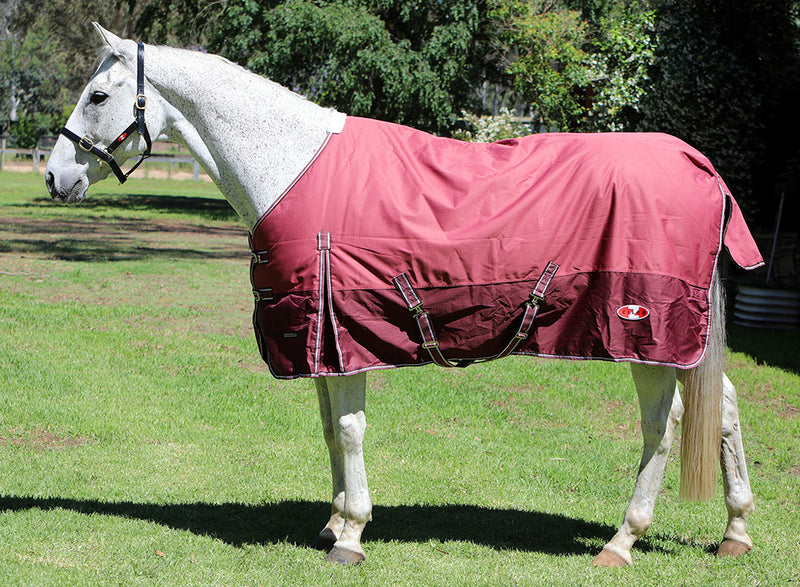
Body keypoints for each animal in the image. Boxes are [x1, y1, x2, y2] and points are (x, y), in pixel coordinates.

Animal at [45, 25, 756, 568]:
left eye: (98, 94)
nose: (55, 176)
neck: (290, 162)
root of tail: (697, 163)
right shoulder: (321, 338)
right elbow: (329, 428)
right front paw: (334, 522)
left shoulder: (344, 332)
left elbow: (350, 429)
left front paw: (352, 536)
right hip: (682, 341)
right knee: (721, 404)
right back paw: (736, 531)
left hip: (644, 331)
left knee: (662, 424)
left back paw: (621, 542)